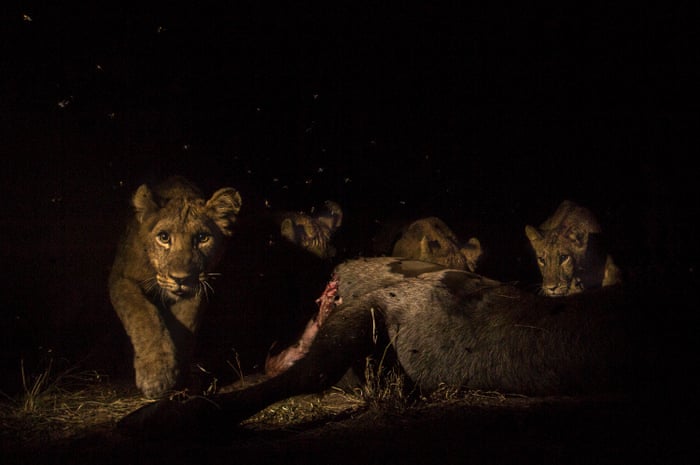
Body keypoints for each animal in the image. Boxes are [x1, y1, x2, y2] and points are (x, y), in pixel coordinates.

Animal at [108, 176, 242, 399]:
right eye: (164, 237)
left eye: (202, 238)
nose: (181, 279)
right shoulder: (121, 278)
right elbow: (143, 317)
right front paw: (157, 376)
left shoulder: (198, 287)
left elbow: (185, 327)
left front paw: (180, 379)